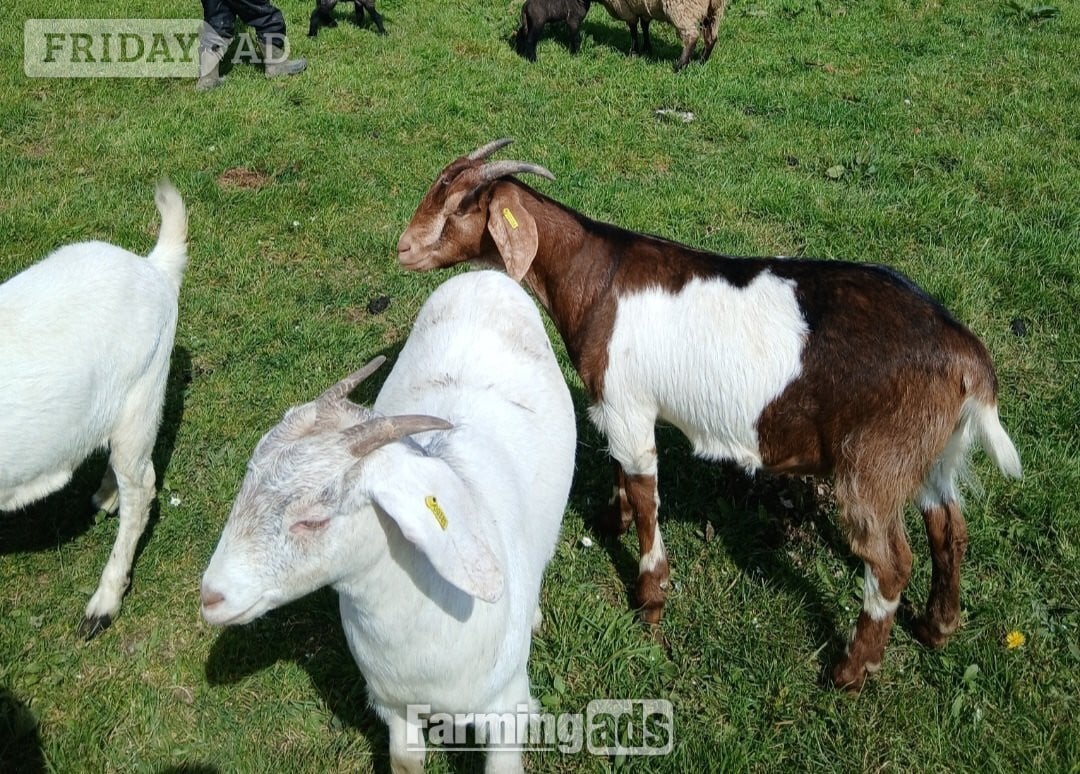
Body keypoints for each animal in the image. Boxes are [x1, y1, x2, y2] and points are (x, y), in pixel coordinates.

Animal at [201, 270, 576, 771]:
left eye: (314, 520)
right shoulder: (394, 705)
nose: (211, 596)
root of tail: (485, 276)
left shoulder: (507, 711)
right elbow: (405, 759)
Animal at [396, 139, 1023, 690]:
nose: (403, 247)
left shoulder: (628, 406)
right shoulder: (619, 408)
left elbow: (645, 489)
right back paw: (938, 627)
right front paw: (610, 520)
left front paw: (650, 599)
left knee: (890, 561)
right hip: (931, 450)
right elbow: (621, 472)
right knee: (949, 525)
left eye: (460, 206)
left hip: (876, 461)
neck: (596, 278)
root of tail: (964, 351)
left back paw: (850, 672)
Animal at [595, 0, 727, 70]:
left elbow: (633, 28)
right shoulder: (644, 8)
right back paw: (701, 62)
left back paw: (679, 67)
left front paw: (634, 52)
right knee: (711, 38)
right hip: (714, 9)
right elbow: (644, 25)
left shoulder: (624, 7)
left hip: (681, 8)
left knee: (692, 36)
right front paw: (647, 48)